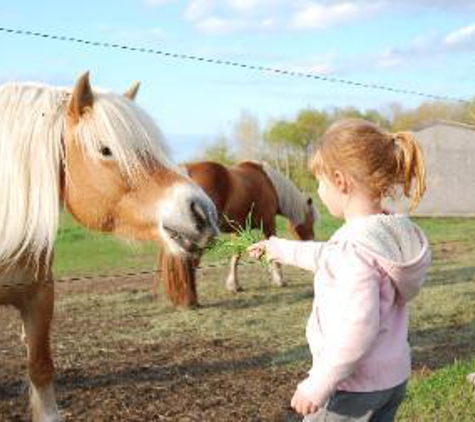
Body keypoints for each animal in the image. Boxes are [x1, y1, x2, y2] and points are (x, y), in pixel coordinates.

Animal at [155, 161, 320, 306]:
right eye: (311, 219)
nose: (312, 240)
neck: (269, 183)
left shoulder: (238, 231)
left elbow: (235, 256)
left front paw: (234, 285)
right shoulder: (268, 224)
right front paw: (279, 280)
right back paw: (191, 300)